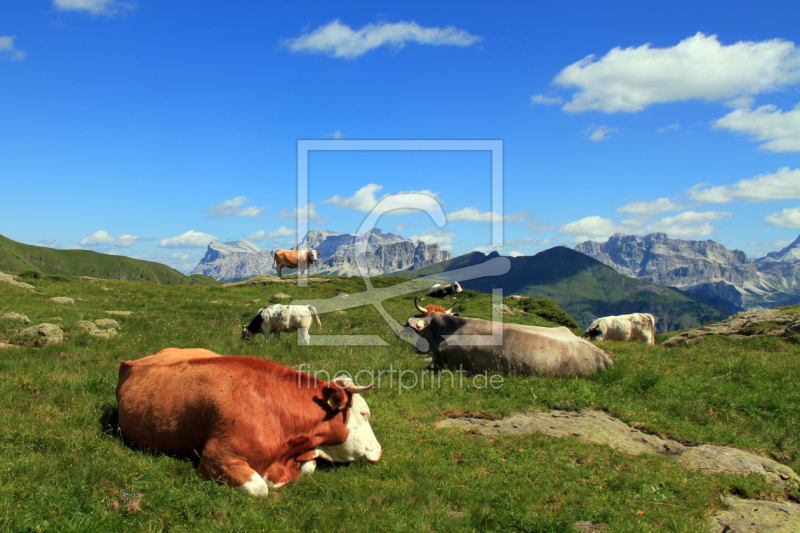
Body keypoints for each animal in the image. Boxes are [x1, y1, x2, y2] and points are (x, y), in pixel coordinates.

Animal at [113, 348, 384, 496]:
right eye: (364, 414)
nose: (379, 451)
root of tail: (133, 362)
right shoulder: (216, 459)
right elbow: (259, 488)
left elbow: (309, 467)